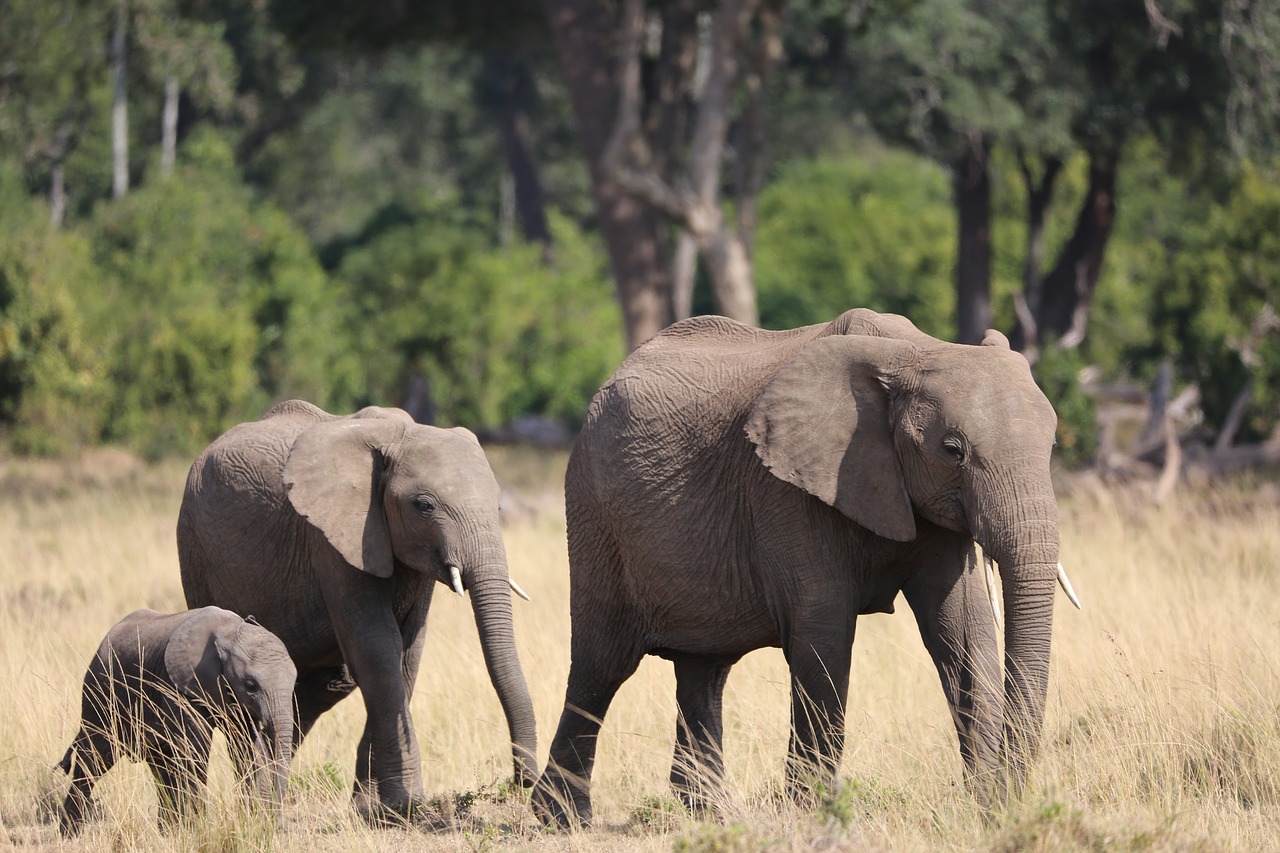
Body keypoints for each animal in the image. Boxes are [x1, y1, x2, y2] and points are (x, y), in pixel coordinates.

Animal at [57, 604, 296, 829]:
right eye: (250, 685)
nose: (278, 824)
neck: (229, 632)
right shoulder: (177, 686)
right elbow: (194, 751)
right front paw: (201, 828)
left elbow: (249, 749)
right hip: (100, 691)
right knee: (95, 758)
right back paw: (70, 834)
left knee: (161, 767)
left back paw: (167, 831)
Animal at [177, 399, 537, 819]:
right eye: (424, 506)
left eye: (498, 506)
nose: (523, 779)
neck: (400, 435)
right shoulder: (331, 538)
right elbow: (378, 651)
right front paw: (405, 805)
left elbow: (407, 655)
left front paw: (375, 808)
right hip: (195, 549)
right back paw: (255, 804)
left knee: (325, 685)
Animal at [529, 308, 1070, 819]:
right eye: (953, 450)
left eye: (1052, 446)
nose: (1008, 796)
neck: (908, 353)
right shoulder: (785, 489)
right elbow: (824, 636)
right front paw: (810, 812)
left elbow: (962, 631)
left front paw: (986, 806)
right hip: (595, 512)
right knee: (602, 665)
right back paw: (563, 817)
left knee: (703, 670)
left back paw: (712, 814)